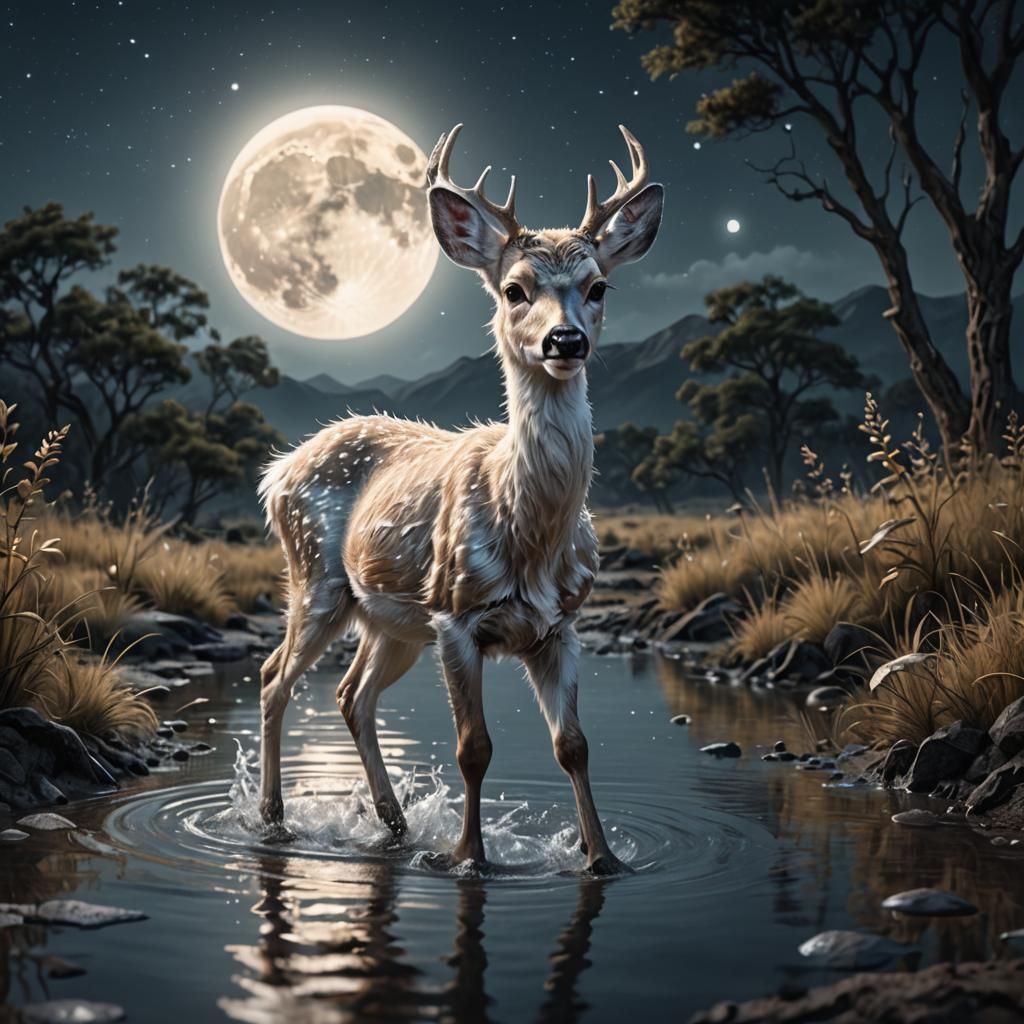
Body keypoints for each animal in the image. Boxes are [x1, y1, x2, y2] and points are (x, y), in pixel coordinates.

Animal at [256, 123, 663, 875]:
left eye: (598, 286)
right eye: (513, 289)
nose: (566, 340)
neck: (529, 537)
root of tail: (277, 471)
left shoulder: (561, 624)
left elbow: (574, 746)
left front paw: (604, 859)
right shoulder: (456, 614)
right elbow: (473, 748)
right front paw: (468, 857)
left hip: (389, 621)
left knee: (351, 694)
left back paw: (394, 824)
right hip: (319, 579)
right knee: (274, 678)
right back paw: (274, 818)